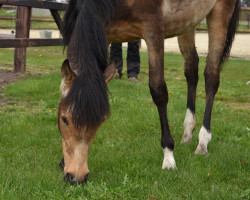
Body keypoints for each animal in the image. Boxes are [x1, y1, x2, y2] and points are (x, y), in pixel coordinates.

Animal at [57, 0, 240, 184]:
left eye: (100, 121)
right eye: (64, 118)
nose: (76, 177)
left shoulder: (153, 29)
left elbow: (158, 91)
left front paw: (169, 157)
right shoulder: (103, 33)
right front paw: (63, 161)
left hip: (220, 13)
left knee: (211, 76)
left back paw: (203, 142)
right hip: (188, 22)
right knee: (191, 71)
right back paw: (188, 132)